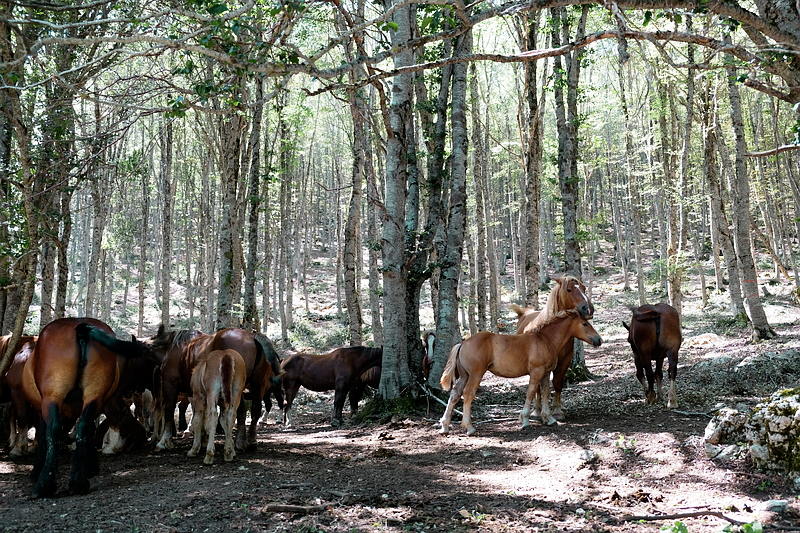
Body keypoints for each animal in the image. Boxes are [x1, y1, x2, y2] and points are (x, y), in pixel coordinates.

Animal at [21, 318, 156, 496]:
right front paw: (91, 467)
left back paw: (46, 483)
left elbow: (42, 435)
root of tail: (80, 328)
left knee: (53, 430)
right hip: (94, 393)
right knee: (82, 427)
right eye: (146, 360)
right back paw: (77, 481)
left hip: (52, 396)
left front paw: (36, 471)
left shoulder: (40, 408)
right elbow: (89, 428)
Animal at [149, 326, 282, 450]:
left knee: (239, 411)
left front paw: (164, 441)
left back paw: (238, 442)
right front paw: (202, 439)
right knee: (254, 410)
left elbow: (169, 410)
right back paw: (250, 441)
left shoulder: (170, 384)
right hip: (258, 386)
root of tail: (252, 336)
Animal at [438, 308, 600, 436]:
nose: (599, 340)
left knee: (455, 394)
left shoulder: (546, 373)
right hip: (476, 374)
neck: (545, 340)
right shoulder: (536, 371)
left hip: (464, 375)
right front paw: (525, 420)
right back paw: (469, 427)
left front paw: (549, 418)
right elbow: (531, 392)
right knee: (468, 394)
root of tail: (463, 343)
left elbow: (545, 392)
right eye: (585, 324)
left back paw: (445, 426)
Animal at [512, 274, 592, 420]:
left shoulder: (565, 360)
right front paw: (539, 411)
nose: (588, 309)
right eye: (569, 290)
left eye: (583, 288)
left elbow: (557, 383)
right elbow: (540, 387)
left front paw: (558, 410)